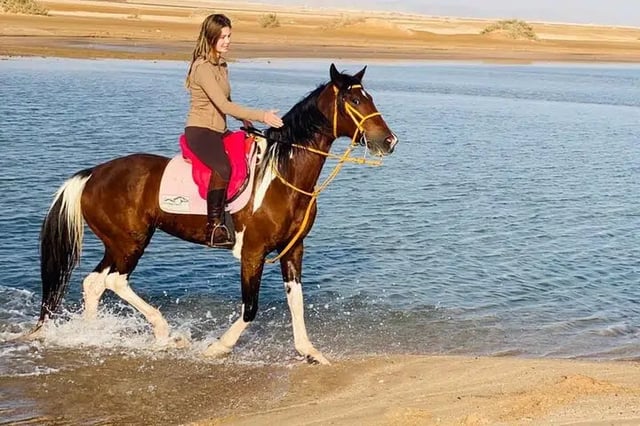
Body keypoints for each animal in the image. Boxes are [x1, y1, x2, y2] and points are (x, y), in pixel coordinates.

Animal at [35, 63, 398, 365]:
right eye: (355, 101)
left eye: (369, 98)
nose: (389, 141)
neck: (284, 176)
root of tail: (93, 174)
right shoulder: (252, 252)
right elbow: (250, 308)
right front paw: (217, 347)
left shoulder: (292, 249)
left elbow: (296, 301)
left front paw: (309, 352)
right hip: (129, 242)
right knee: (113, 280)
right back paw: (164, 333)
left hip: (118, 243)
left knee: (95, 283)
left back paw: (91, 334)